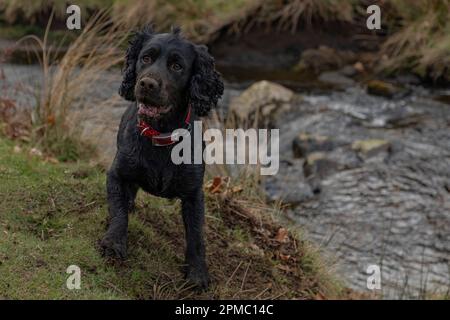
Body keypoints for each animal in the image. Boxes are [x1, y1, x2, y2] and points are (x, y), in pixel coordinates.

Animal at [100, 26, 223, 288]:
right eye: (145, 58)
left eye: (177, 66)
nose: (146, 83)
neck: (161, 136)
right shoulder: (117, 174)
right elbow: (118, 211)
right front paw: (114, 242)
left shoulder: (194, 193)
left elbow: (196, 235)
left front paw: (197, 272)